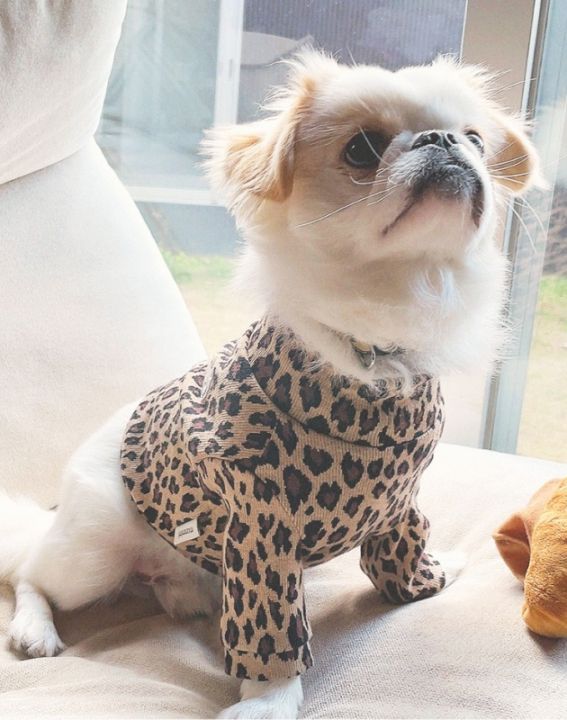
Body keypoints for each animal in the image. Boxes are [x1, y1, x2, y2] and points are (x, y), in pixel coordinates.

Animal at [0, 51, 539, 719]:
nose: (442, 140)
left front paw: (435, 576)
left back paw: (180, 593)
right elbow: (273, 635)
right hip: (91, 552)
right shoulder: (263, 536)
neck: (379, 348)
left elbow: (403, 557)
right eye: (363, 149)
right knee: (28, 572)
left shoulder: (398, 506)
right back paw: (36, 628)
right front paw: (269, 701)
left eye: (476, 140)